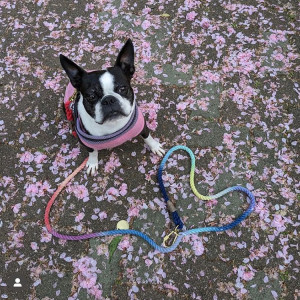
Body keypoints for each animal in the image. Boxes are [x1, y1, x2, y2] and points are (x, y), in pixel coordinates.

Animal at [59, 40, 165, 176]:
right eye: (91, 96)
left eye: (122, 88)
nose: (108, 99)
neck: (112, 125)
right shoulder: (86, 142)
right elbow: (92, 152)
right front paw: (92, 163)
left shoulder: (142, 126)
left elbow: (147, 137)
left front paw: (155, 146)